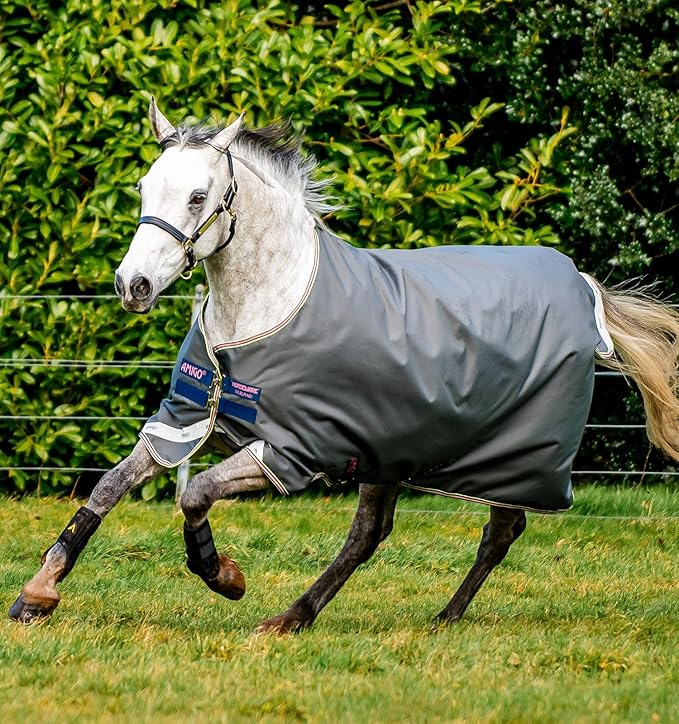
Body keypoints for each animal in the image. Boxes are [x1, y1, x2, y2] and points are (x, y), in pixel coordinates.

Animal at [10, 98, 679, 632]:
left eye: (198, 196)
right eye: (145, 189)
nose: (133, 286)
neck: (267, 305)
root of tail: (583, 284)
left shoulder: (290, 451)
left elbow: (194, 493)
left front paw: (224, 575)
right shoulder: (183, 421)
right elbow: (109, 485)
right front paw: (37, 593)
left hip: (513, 458)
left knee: (498, 534)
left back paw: (437, 617)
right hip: (391, 449)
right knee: (370, 536)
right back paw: (295, 618)